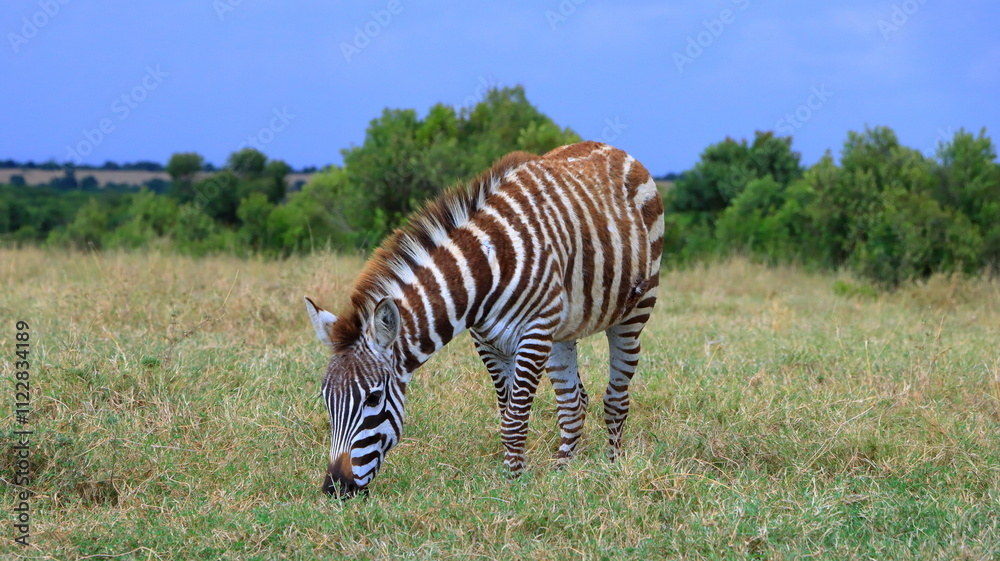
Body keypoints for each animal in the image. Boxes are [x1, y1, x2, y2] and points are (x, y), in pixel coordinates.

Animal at [305, 141, 664, 496]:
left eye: (374, 397)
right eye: (326, 400)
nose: (335, 487)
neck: (485, 269)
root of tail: (612, 148)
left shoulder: (533, 334)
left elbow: (515, 420)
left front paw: (513, 489)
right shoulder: (487, 342)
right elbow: (507, 414)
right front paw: (515, 477)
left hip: (634, 312)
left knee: (616, 399)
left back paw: (613, 467)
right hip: (561, 331)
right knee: (573, 404)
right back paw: (563, 474)